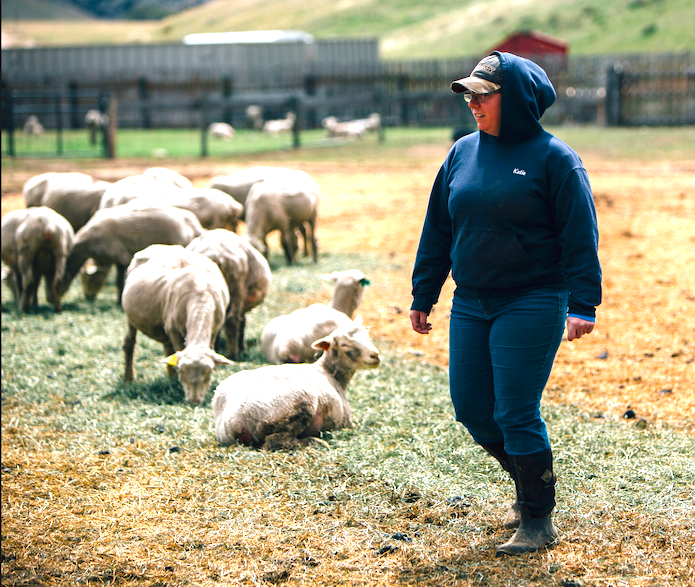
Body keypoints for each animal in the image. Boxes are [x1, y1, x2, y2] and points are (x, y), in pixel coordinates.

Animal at [59, 202, 203, 304]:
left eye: (90, 279)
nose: (88, 297)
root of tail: (195, 224)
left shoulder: (120, 257)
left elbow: (119, 282)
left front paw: (118, 302)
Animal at [122, 244, 233, 404]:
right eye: (182, 371)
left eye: (209, 371)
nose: (194, 400)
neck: (200, 294)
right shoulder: (173, 329)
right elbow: (177, 350)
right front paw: (176, 380)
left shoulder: (214, 329)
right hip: (131, 317)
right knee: (130, 343)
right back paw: (129, 378)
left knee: (167, 347)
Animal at [186, 229, 271, 359]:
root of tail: (216, 254)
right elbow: (242, 322)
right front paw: (242, 347)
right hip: (237, 290)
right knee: (232, 320)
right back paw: (233, 354)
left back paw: (217, 349)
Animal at [212, 315, 380, 449]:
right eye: (344, 344)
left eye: (367, 335)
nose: (375, 356)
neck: (328, 371)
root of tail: (231, 422)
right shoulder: (346, 422)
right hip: (300, 403)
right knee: (273, 442)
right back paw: (315, 442)